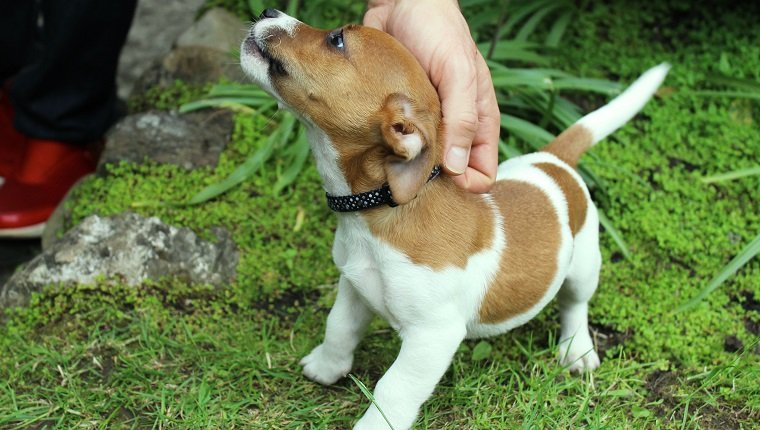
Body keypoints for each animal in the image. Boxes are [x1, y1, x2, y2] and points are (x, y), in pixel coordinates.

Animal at [240, 9, 668, 430]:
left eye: (337, 40)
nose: (267, 11)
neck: (378, 213)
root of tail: (553, 159)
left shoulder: (432, 337)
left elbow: (392, 389)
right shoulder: (354, 288)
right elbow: (339, 328)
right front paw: (327, 367)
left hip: (584, 264)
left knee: (575, 304)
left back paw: (577, 349)